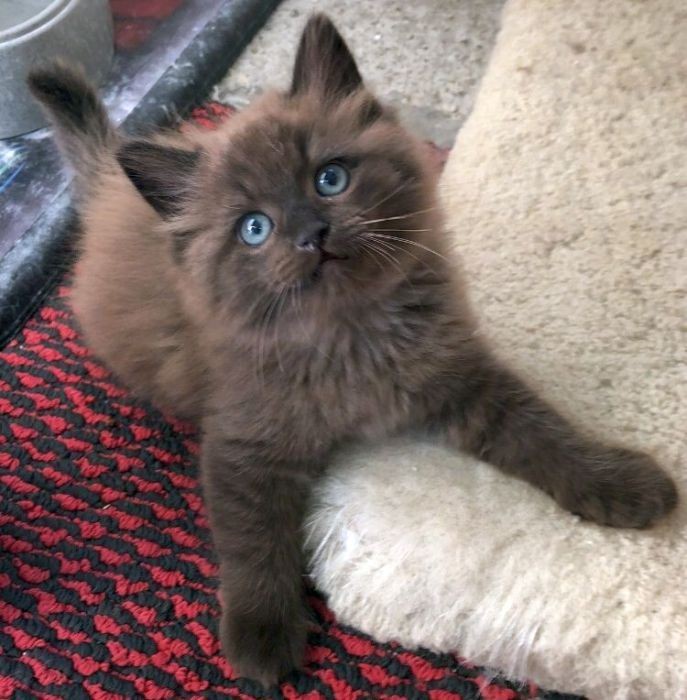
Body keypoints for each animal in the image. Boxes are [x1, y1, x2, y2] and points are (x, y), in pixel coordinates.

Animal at [26, 13, 676, 688]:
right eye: (254, 229)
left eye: (329, 178)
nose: (312, 234)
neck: (352, 335)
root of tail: (109, 188)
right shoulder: (243, 446)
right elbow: (253, 543)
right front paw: (261, 637)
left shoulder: (463, 377)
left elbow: (545, 432)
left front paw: (620, 482)